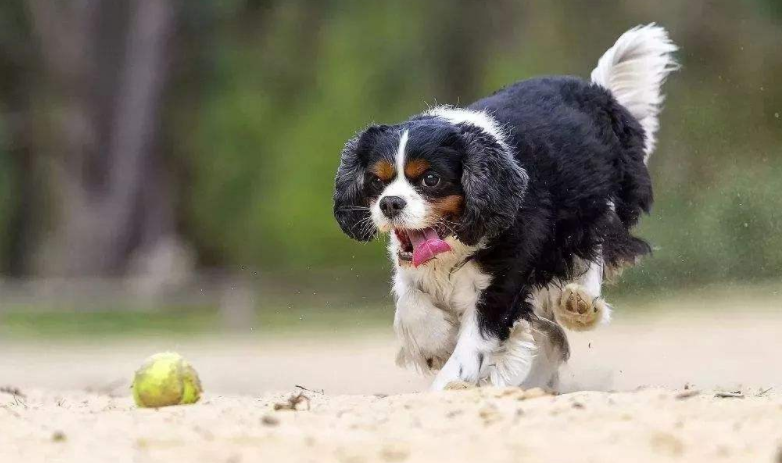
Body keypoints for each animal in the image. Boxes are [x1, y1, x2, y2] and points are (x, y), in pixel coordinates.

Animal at [334, 23, 676, 390]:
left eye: (430, 179)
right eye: (376, 180)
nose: (390, 203)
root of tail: (600, 93)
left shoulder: (502, 285)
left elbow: (471, 348)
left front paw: (447, 385)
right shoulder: (413, 266)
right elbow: (411, 299)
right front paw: (434, 344)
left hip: (592, 210)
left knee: (593, 249)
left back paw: (581, 304)